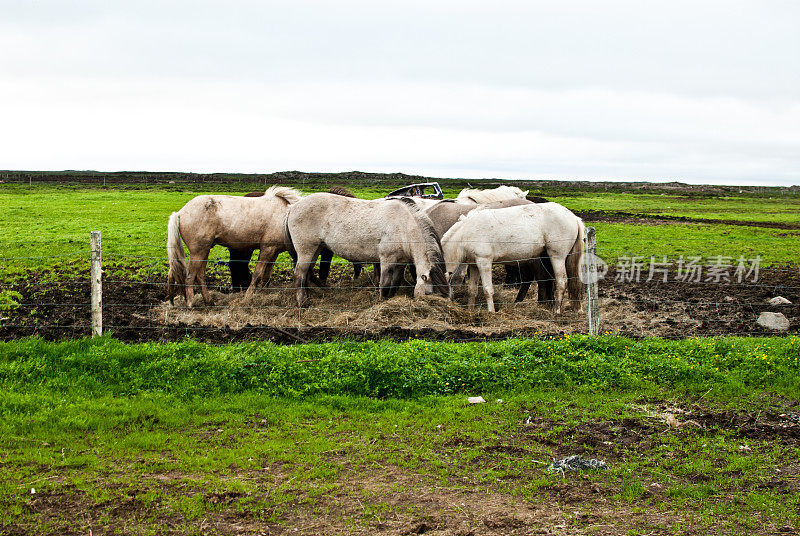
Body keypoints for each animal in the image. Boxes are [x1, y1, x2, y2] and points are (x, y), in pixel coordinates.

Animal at [284, 195, 450, 308]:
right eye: (428, 294)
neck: (403, 225)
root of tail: (293, 207)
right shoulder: (387, 260)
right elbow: (385, 284)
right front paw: (382, 301)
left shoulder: (400, 263)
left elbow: (395, 283)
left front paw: (391, 298)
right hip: (306, 250)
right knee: (299, 274)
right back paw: (303, 302)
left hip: (316, 249)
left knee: (306, 274)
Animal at [440, 204, 584, 314]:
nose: (445, 304)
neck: (467, 231)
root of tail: (574, 217)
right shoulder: (474, 265)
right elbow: (472, 290)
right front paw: (471, 311)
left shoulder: (484, 262)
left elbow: (488, 289)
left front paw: (491, 312)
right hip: (547, 258)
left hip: (557, 257)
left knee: (561, 282)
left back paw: (556, 311)